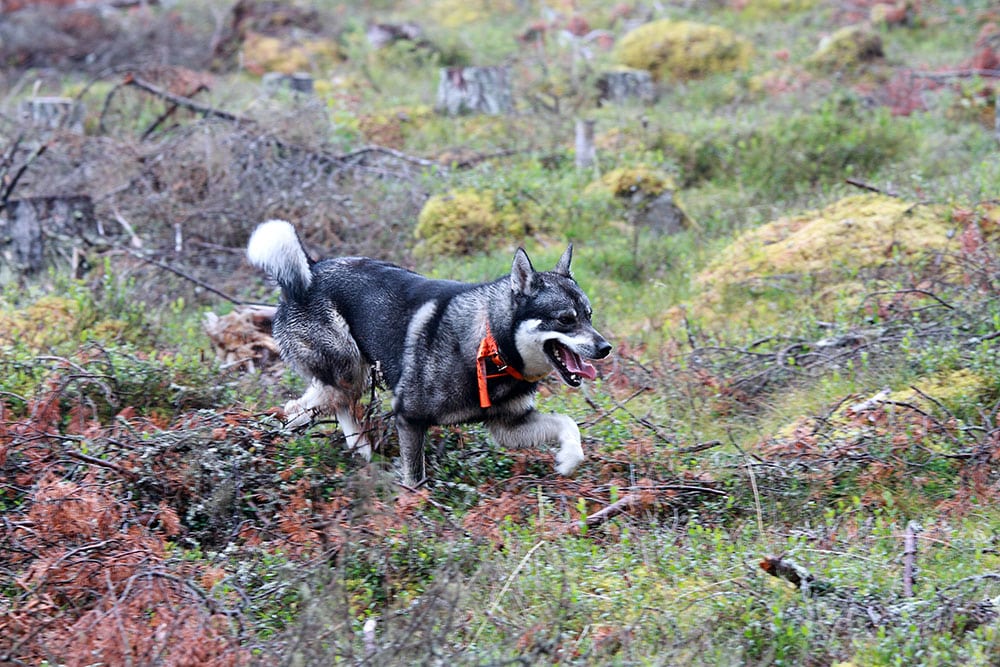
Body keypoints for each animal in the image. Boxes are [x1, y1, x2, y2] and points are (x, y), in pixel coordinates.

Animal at [246, 219, 612, 486]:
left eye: (589, 315)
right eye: (566, 319)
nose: (605, 348)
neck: (491, 342)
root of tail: (311, 270)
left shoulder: (508, 426)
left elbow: (567, 423)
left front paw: (569, 458)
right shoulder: (409, 417)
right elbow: (415, 478)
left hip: (353, 375)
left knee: (322, 405)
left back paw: (357, 451)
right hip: (348, 370)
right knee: (310, 404)